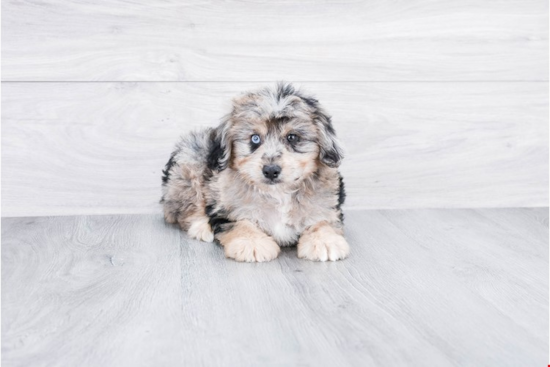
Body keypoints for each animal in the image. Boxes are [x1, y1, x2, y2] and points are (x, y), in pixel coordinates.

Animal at [162, 83, 350, 262]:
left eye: (292, 137)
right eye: (255, 138)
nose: (271, 170)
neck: (278, 194)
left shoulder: (327, 205)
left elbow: (323, 222)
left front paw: (325, 241)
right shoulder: (228, 208)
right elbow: (241, 222)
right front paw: (251, 243)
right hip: (189, 162)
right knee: (183, 208)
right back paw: (201, 227)